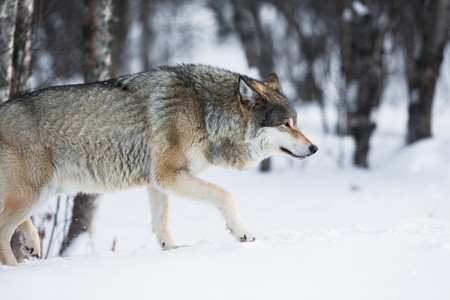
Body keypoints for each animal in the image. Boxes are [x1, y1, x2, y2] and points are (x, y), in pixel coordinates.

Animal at [0, 63, 318, 264]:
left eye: (296, 122)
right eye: (287, 124)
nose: (314, 148)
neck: (206, 113)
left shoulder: (157, 181)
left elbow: (160, 222)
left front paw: (172, 251)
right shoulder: (169, 174)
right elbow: (226, 194)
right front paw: (243, 232)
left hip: (44, 190)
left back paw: (32, 242)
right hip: (38, 191)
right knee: (4, 230)